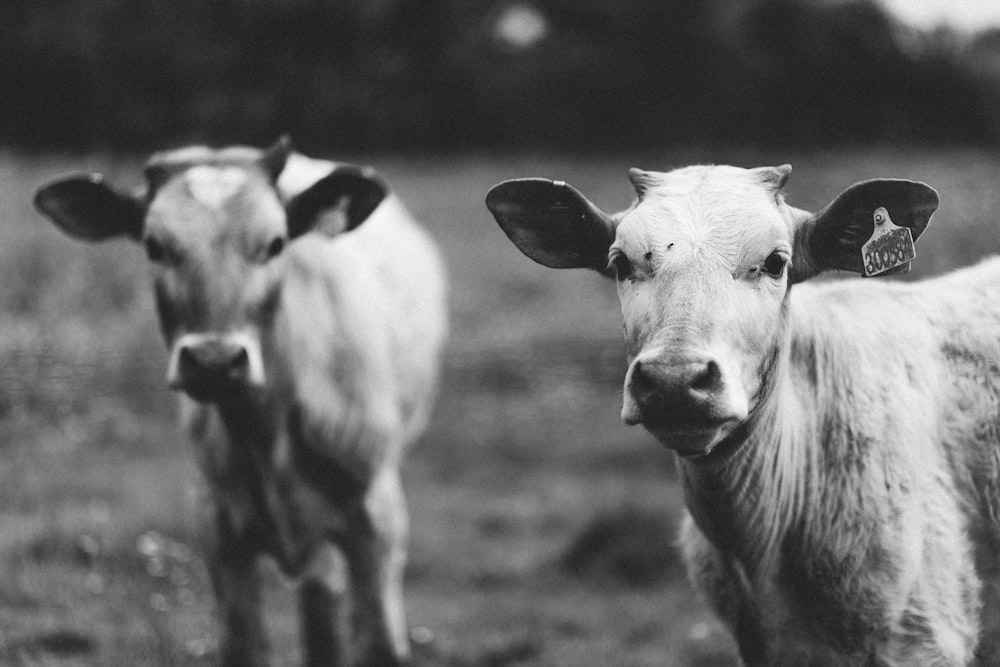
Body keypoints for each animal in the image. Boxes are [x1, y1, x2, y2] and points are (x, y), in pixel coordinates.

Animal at [32, 137, 446, 667]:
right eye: (154, 245)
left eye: (275, 244)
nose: (213, 361)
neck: (266, 429)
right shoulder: (217, 529)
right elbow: (245, 643)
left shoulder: (377, 522)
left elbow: (379, 644)